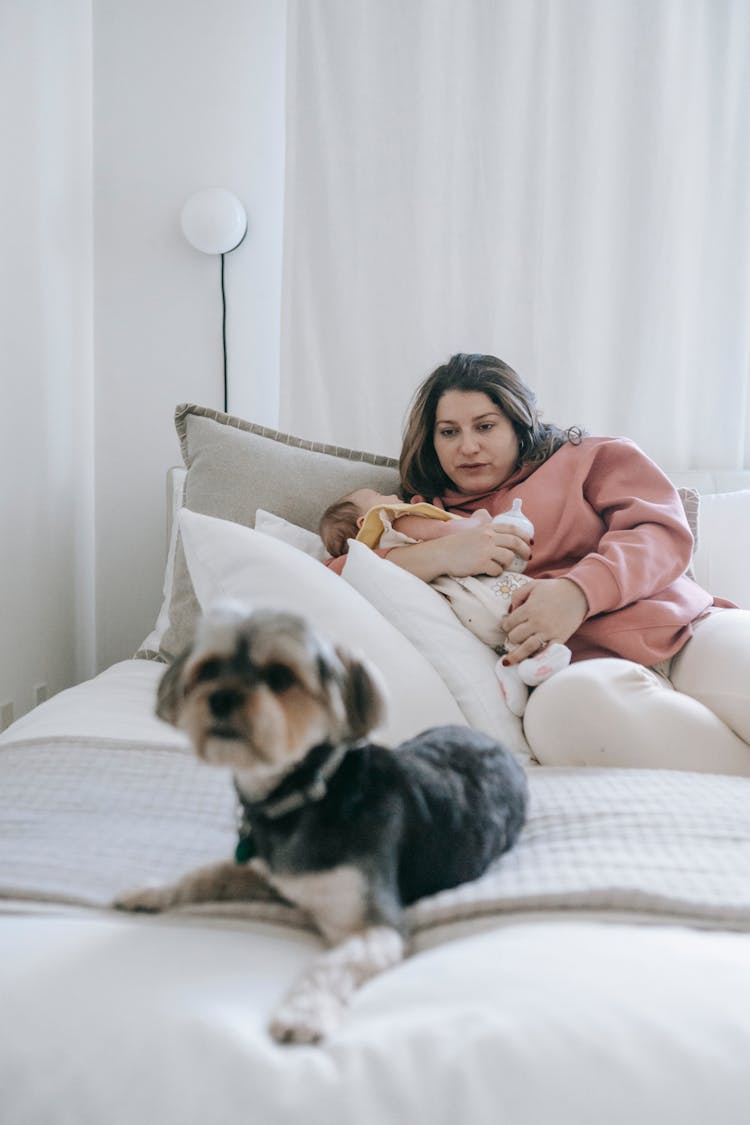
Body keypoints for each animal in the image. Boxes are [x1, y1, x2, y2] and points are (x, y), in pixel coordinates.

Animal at [115, 607, 528, 1044]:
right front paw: (150, 891)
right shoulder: (268, 872)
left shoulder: (374, 926)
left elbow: (331, 967)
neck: (308, 792)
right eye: (208, 669)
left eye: (280, 676)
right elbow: (207, 873)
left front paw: (303, 1014)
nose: (220, 697)